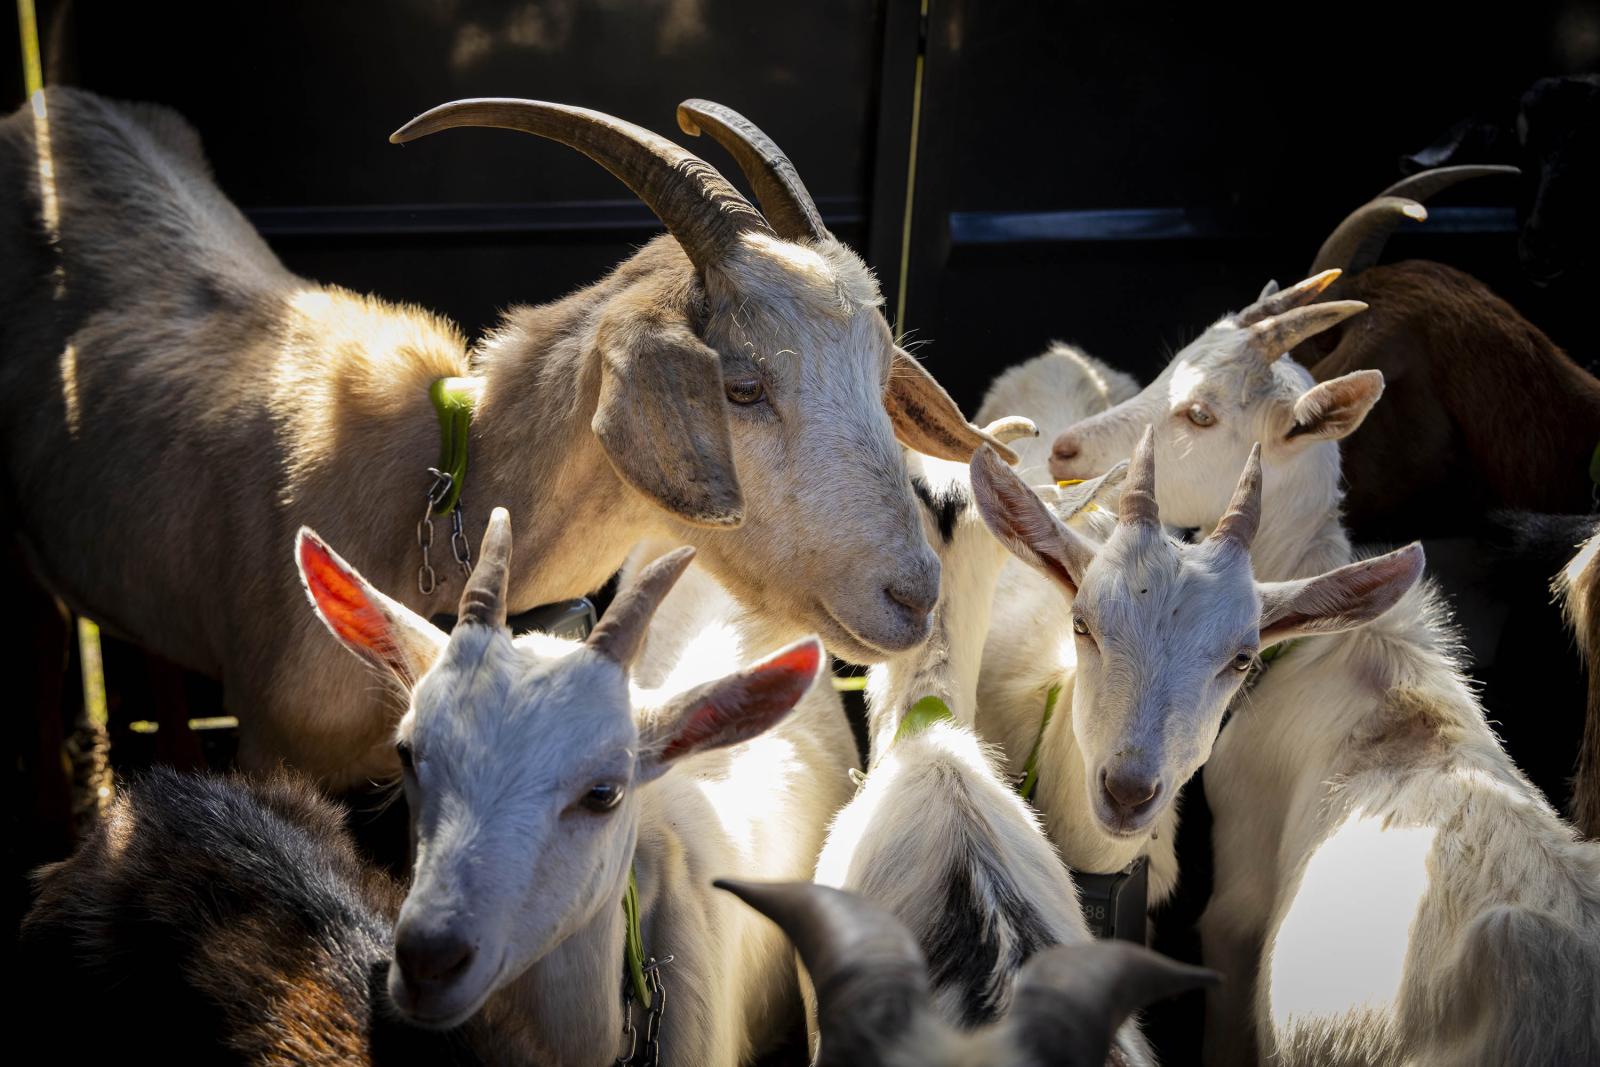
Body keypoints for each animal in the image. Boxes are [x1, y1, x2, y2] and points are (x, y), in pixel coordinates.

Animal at [0, 88, 999, 789]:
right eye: (743, 387)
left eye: (879, 373)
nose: (912, 595)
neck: (436, 480)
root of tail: (56, 104)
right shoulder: (275, 745)